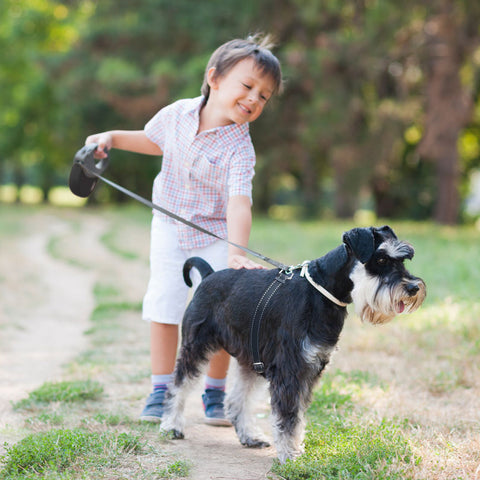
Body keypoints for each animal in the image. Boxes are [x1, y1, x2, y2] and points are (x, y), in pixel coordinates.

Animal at [161, 227, 428, 464]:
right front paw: (290, 455)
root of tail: (208, 275)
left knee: (238, 400)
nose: (413, 287)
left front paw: (295, 450)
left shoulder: (309, 369)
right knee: (178, 384)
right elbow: (288, 416)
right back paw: (172, 425)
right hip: (196, 346)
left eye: (403, 259)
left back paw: (250, 436)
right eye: (380, 258)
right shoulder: (290, 369)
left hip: (252, 358)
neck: (321, 292)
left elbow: (297, 416)